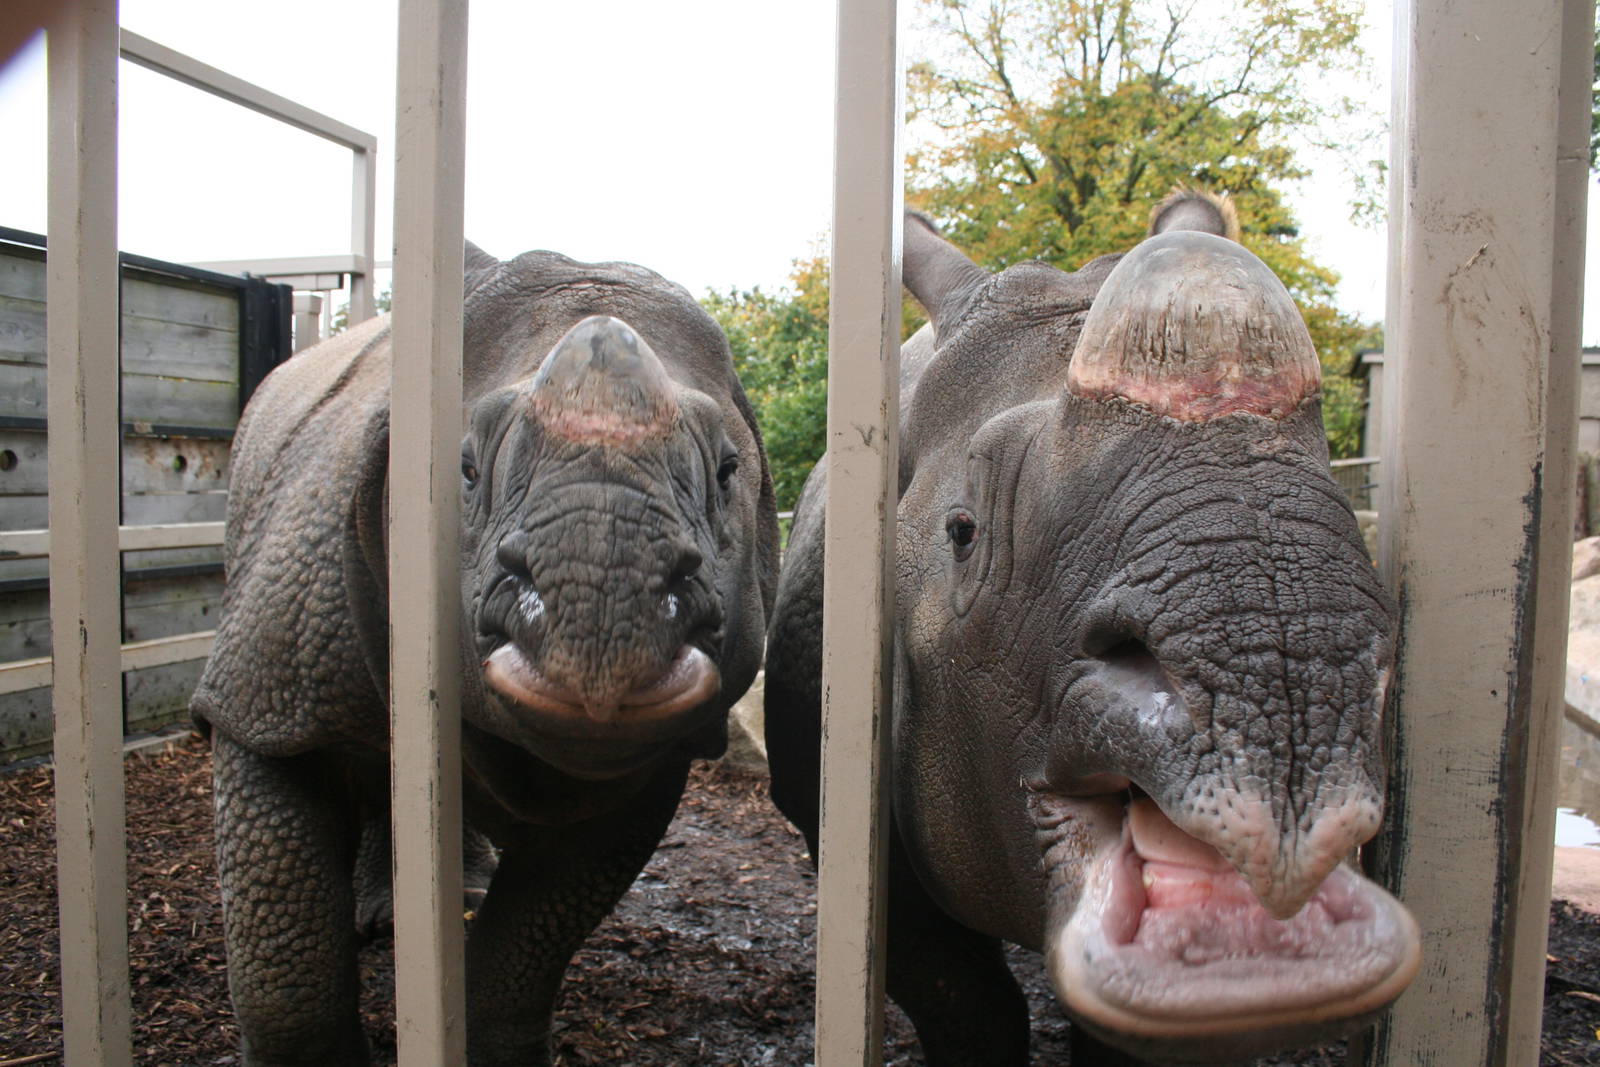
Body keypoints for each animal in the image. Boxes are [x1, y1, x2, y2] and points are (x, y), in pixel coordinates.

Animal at [191, 244, 778, 1066]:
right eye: (465, 471)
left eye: (728, 473)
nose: (597, 642)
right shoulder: (266, 695)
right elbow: (281, 949)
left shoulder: (652, 761)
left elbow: (531, 943)